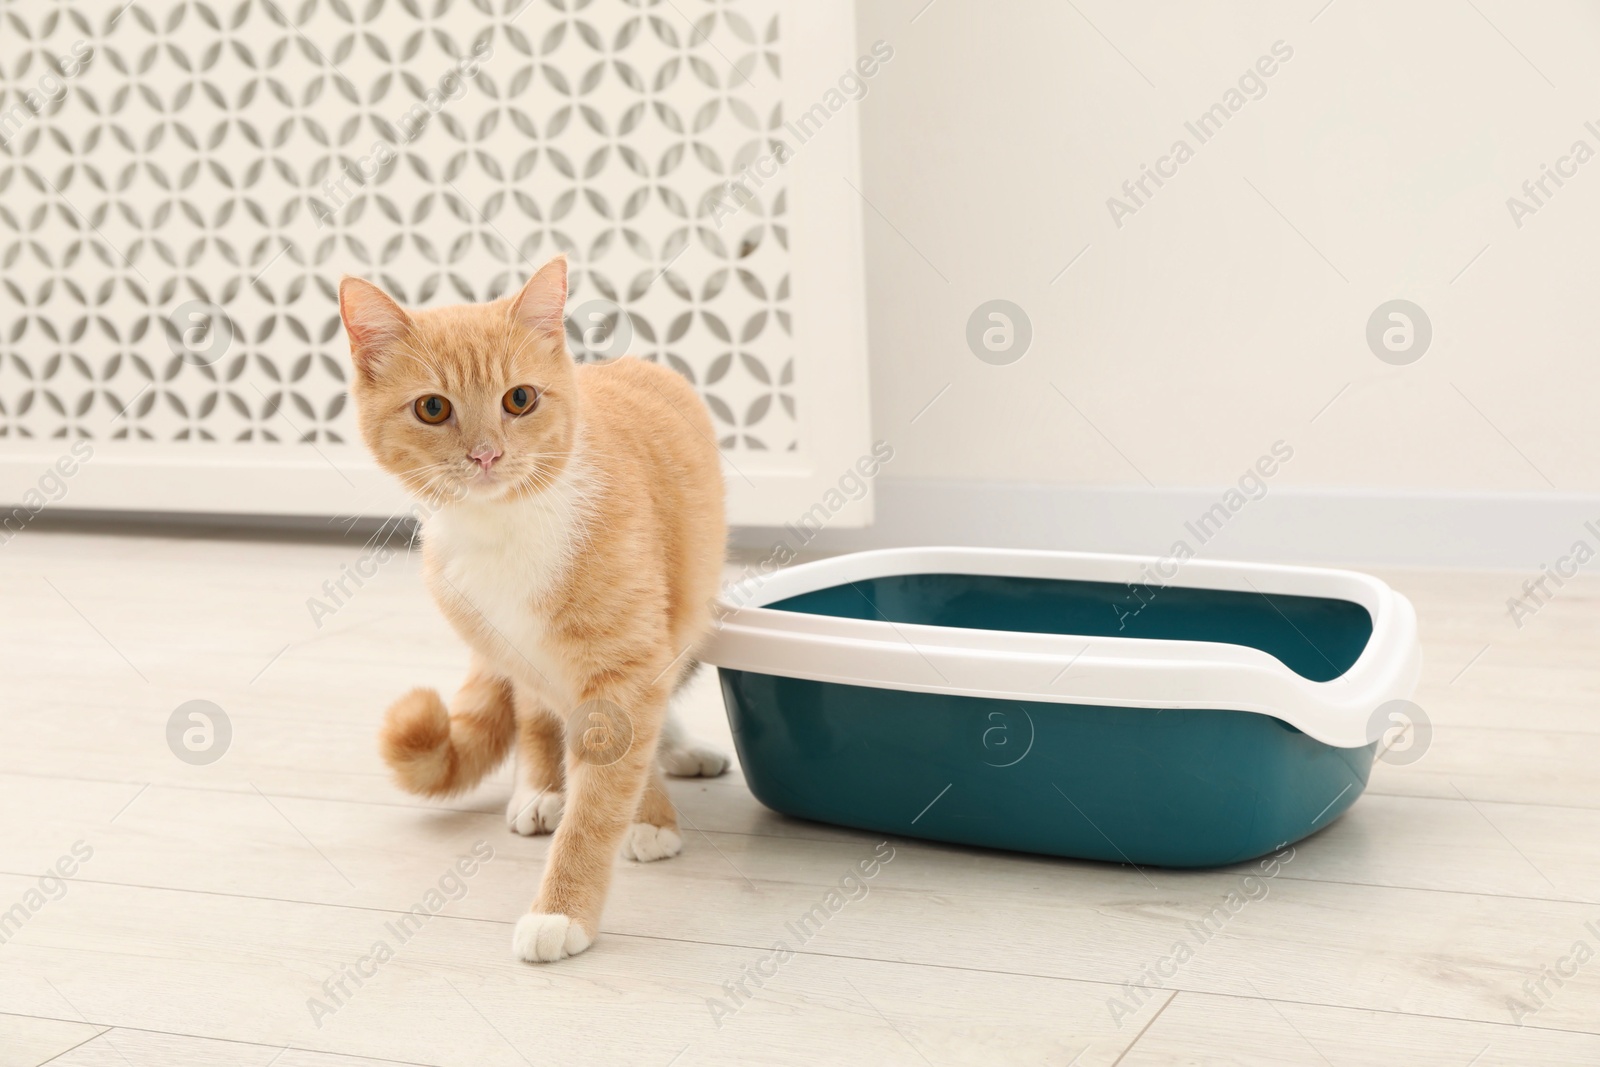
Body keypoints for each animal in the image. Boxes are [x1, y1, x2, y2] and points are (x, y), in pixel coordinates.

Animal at [347, 254, 732, 966]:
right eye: (433, 408)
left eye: (519, 400)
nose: (486, 454)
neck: (505, 528)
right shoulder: (520, 647)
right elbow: (568, 738)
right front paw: (604, 807)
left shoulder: (629, 663)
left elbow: (604, 794)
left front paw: (566, 905)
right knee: (533, 714)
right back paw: (542, 788)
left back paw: (677, 753)